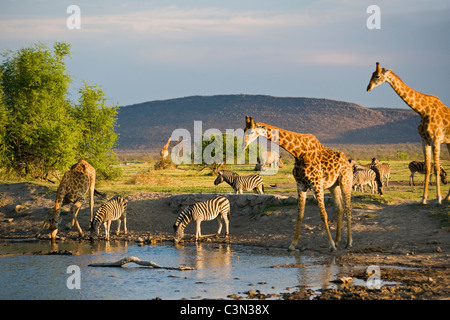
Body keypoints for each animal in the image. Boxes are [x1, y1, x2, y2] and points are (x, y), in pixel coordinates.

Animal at [244, 116, 354, 251]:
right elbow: (299, 215)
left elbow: (323, 214)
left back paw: (348, 242)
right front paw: (292, 245)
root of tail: (347, 161)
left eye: (252, 132)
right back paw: (338, 241)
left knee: (348, 207)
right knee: (340, 208)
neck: (298, 152)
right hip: (333, 186)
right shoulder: (301, 185)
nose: (243, 145)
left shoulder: (316, 184)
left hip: (345, 181)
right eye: (244, 130)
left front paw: (331, 245)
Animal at [368, 62, 448, 205]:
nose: (368, 87)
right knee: (411, 175)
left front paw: (435, 197)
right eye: (372, 74)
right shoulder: (427, 140)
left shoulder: (434, 140)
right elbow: (430, 170)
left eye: (377, 76)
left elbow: (433, 170)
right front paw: (428, 198)